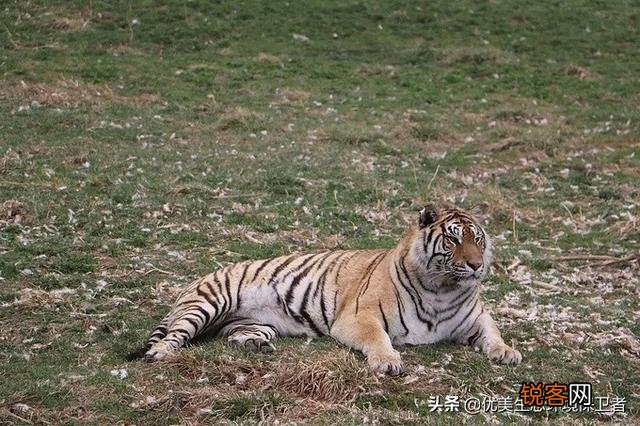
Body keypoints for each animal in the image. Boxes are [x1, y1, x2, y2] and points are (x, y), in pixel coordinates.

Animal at [140, 204, 522, 375]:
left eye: (478, 240)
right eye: (453, 239)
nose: (475, 265)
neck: (443, 289)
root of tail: (192, 282)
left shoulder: (476, 318)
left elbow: (493, 332)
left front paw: (507, 352)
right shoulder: (357, 317)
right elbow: (378, 338)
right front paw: (388, 361)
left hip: (252, 323)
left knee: (231, 336)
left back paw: (258, 347)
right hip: (207, 304)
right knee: (173, 335)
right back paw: (161, 353)